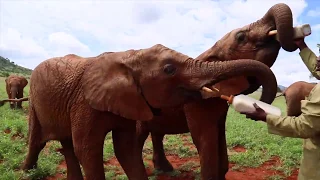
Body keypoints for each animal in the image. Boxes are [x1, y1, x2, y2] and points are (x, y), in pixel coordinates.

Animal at [0, 44, 278, 180]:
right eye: (169, 69)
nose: (257, 105)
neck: (127, 57)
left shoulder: (126, 101)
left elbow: (126, 149)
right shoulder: (85, 103)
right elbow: (88, 149)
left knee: (66, 144)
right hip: (36, 104)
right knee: (37, 140)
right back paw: (26, 172)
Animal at [138, 2, 300, 179]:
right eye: (241, 37)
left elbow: (220, 136)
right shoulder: (197, 103)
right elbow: (204, 138)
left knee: (157, 133)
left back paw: (165, 170)